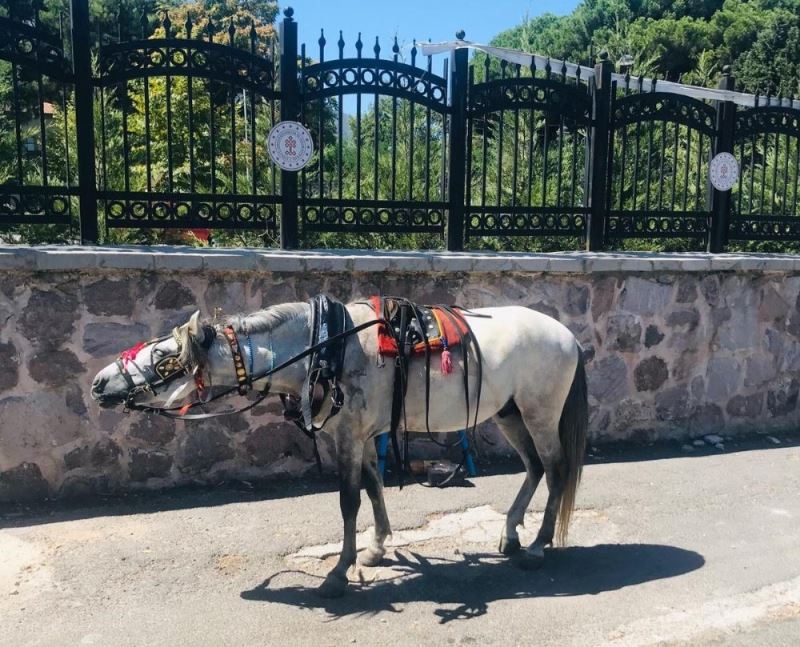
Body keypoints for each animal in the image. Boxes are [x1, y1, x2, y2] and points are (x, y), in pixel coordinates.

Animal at [92, 298, 588, 596]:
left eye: (163, 359)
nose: (98, 383)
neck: (326, 348)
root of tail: (568, 336)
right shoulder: (362, 436)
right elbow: (373, 487)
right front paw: (376, 548)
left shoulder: (350, 435)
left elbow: (349, 500)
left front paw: (338, 572)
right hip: (509, 413)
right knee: (534, 468)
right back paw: (511, 534)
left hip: (540, 413)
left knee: (556, 469)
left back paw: (538, 545)